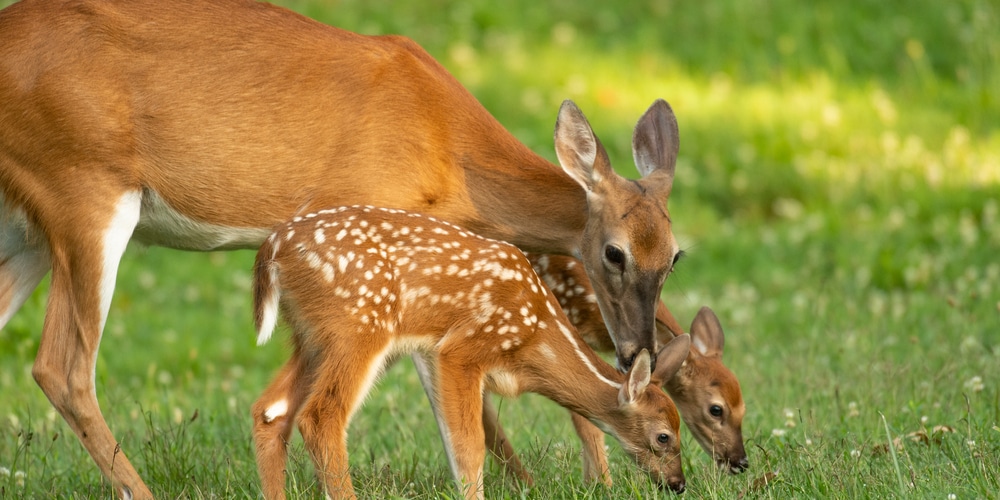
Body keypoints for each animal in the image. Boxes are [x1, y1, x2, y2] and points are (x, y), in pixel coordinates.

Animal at [250, 205, 692, 498]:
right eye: (664, 436)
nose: (678, 483)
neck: (536, 338)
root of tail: (272, 249)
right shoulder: (461, 349)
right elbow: (468, 445)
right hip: (359, 325)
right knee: (321, 415)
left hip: (310, 336)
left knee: (271, 410)